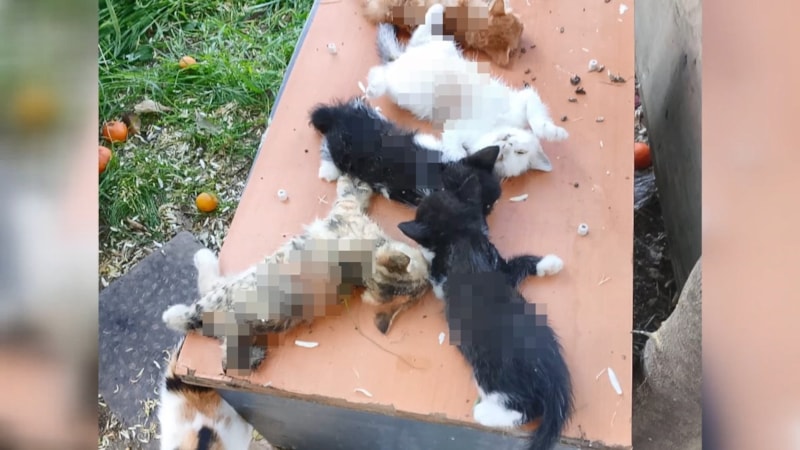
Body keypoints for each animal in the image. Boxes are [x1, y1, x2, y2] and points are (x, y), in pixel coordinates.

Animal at [162, 174, 431, 373]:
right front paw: (354, 176)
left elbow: (351, 192)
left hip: (230, 317)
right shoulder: (347, 211)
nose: (431, 274)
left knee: (227, 360)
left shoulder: (346, 211)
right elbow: (353, 192)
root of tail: (198, 317)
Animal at [310, 97, 545, 206]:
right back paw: (328, 171)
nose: (490, 209)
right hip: (341, 150)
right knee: (327, 146)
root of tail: (337, 117)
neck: (444, 173)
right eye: (486, 206)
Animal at [396, 171, 574, 450]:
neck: (461, 238)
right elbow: (516, 265)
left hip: (493, 374)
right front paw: (549, 263)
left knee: (524, 409)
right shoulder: (498, 263)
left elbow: (434, 273)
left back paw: (484, 413)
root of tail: (553, 379)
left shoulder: (441, 278)